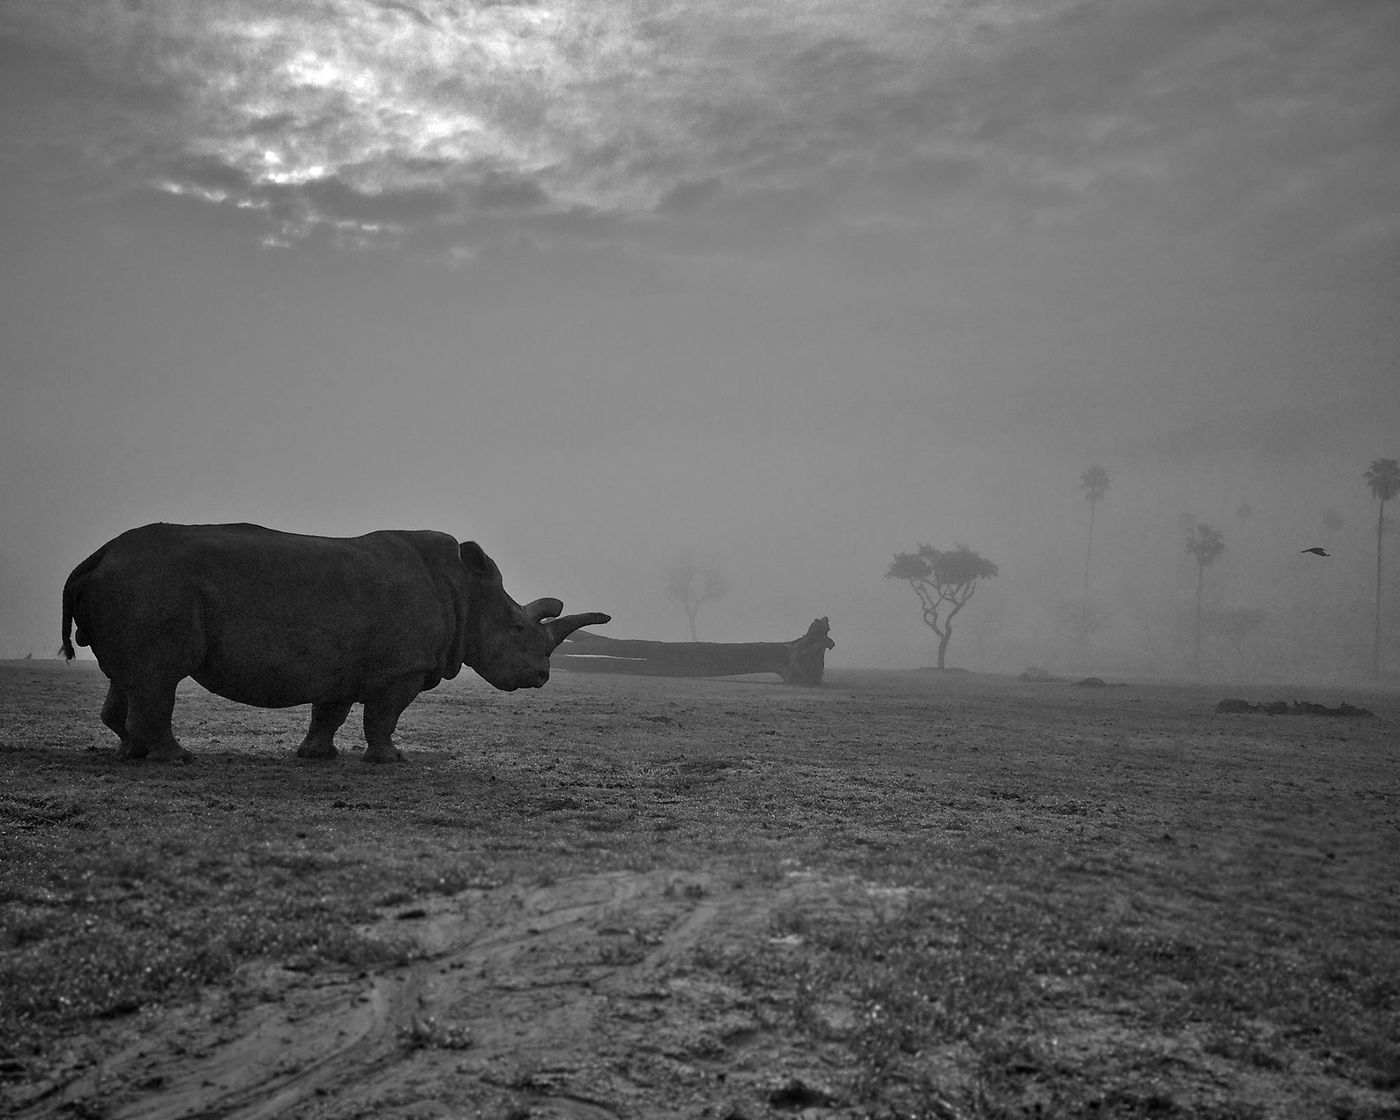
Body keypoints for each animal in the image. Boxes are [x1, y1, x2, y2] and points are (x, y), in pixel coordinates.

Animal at [61, 526, 607, 761]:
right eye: (517, 629)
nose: (541, 677)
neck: (466, 592)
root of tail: (97, 555)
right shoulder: (399, 669)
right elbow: (383, 715)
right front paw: (391, 760)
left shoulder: (343, 662)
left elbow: (331, 711)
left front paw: (315, 757)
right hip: (152, 585)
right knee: (159, 676)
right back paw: (175, 759)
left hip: (135, 584)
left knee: (130, 676)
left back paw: (131, 753)